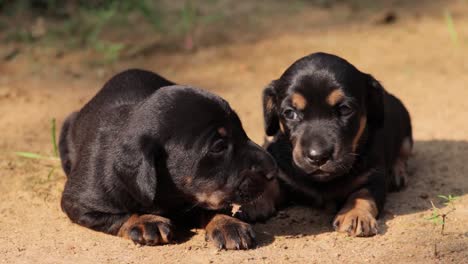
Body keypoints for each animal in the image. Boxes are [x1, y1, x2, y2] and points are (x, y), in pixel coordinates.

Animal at [59, 68, 278, 250]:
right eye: (218, 147)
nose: (273, 170)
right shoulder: (80, 203)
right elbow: (118, 216)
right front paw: (146, 222)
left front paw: (227, 223)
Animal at [241, 53, 414, 237]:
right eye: (289, 113)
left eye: (345, 109)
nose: (318, 157)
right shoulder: (285, 175)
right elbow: (271, 185)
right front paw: (255, 203)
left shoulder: (373, 176)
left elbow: (363, 194)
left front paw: (356, 215)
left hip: (405, 133)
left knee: (402, 154)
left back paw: (397, 173)